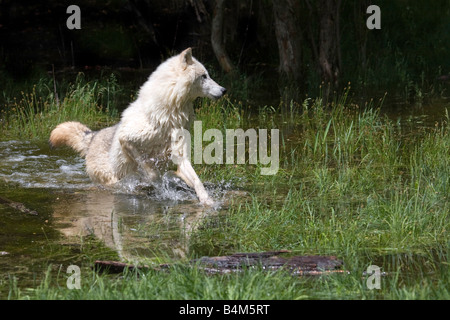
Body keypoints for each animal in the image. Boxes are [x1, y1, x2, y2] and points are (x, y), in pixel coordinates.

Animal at [50, 48, 225, 206]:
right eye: (204, 76)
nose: (224, 90)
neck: (168, 115)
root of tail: (92, 136)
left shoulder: (180, 156)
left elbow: (197, 181)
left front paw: (208, 201)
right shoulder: (127, 140)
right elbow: (152, 173)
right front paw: (159, 186)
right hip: (111, 179)